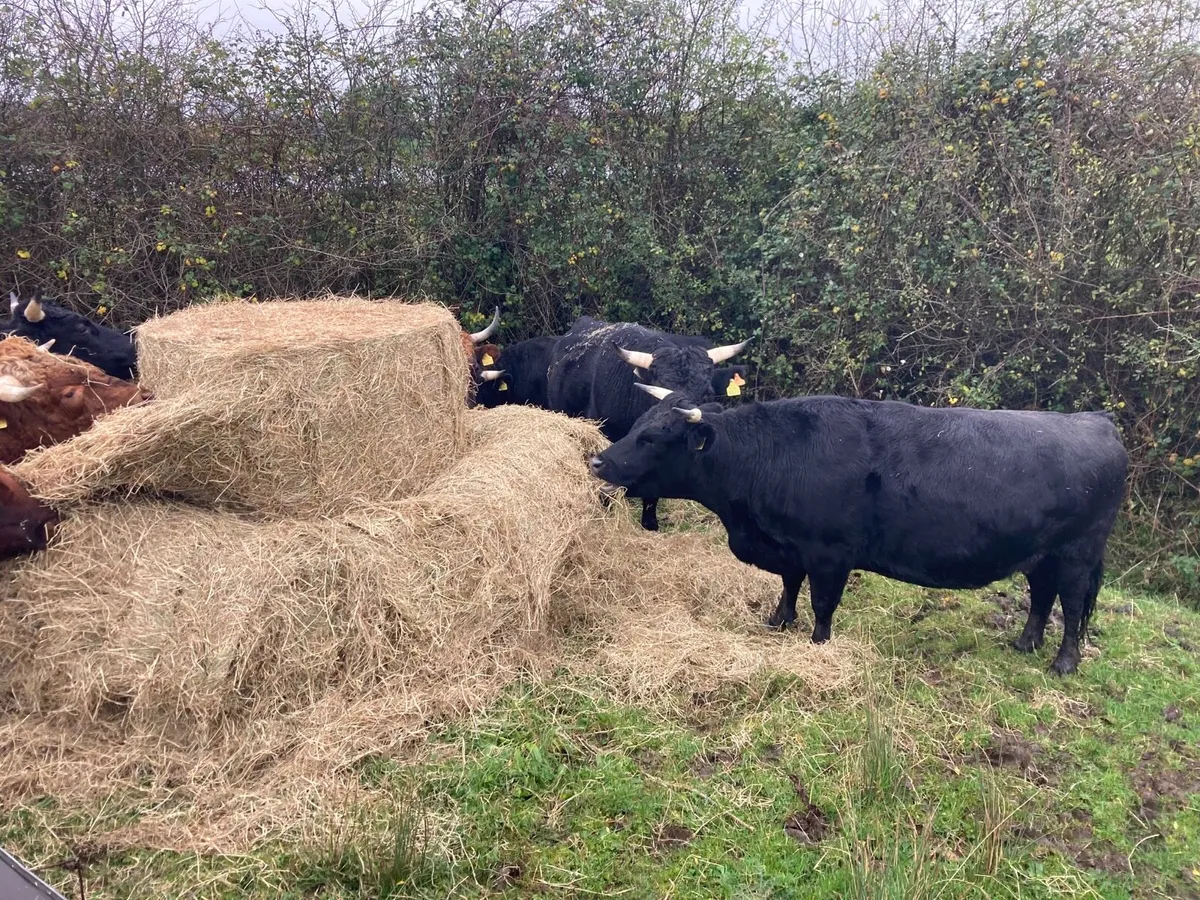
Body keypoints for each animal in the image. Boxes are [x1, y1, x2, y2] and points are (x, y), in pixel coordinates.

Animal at [588, 389, 1128, 675]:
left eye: (652, 437)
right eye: (638, 424)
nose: (598, 460)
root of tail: (1097, 420)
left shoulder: (831, 553)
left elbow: (823, 602)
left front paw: (818, 644)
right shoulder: (791, 548)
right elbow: (790, 585)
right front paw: (778, 620)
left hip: (1077, 553)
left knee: (1071, 605)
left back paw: (1063, 662)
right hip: (1041, 553)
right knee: (1041, 596)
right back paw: (1025, 643)